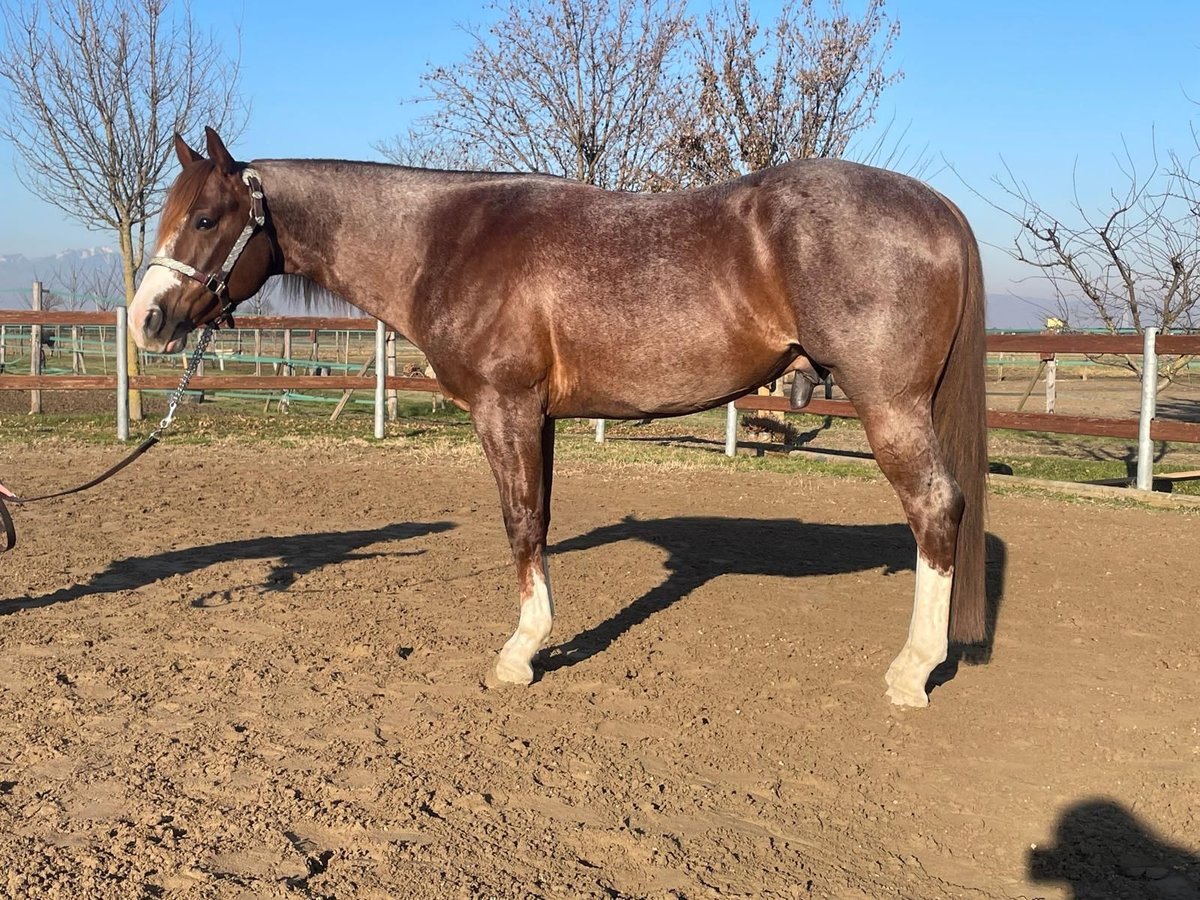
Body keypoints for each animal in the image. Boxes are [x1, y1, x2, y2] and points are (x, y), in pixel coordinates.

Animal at [131, 127, 988, 710]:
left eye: (206, 220)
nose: (146, 320)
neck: (443, 240)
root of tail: (938, 206)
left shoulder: (503, 408)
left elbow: (520, 522)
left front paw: (520, 653)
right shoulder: (537, 416)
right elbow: (538, 519)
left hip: (888, 404)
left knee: (935, 509)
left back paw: (912, 672)